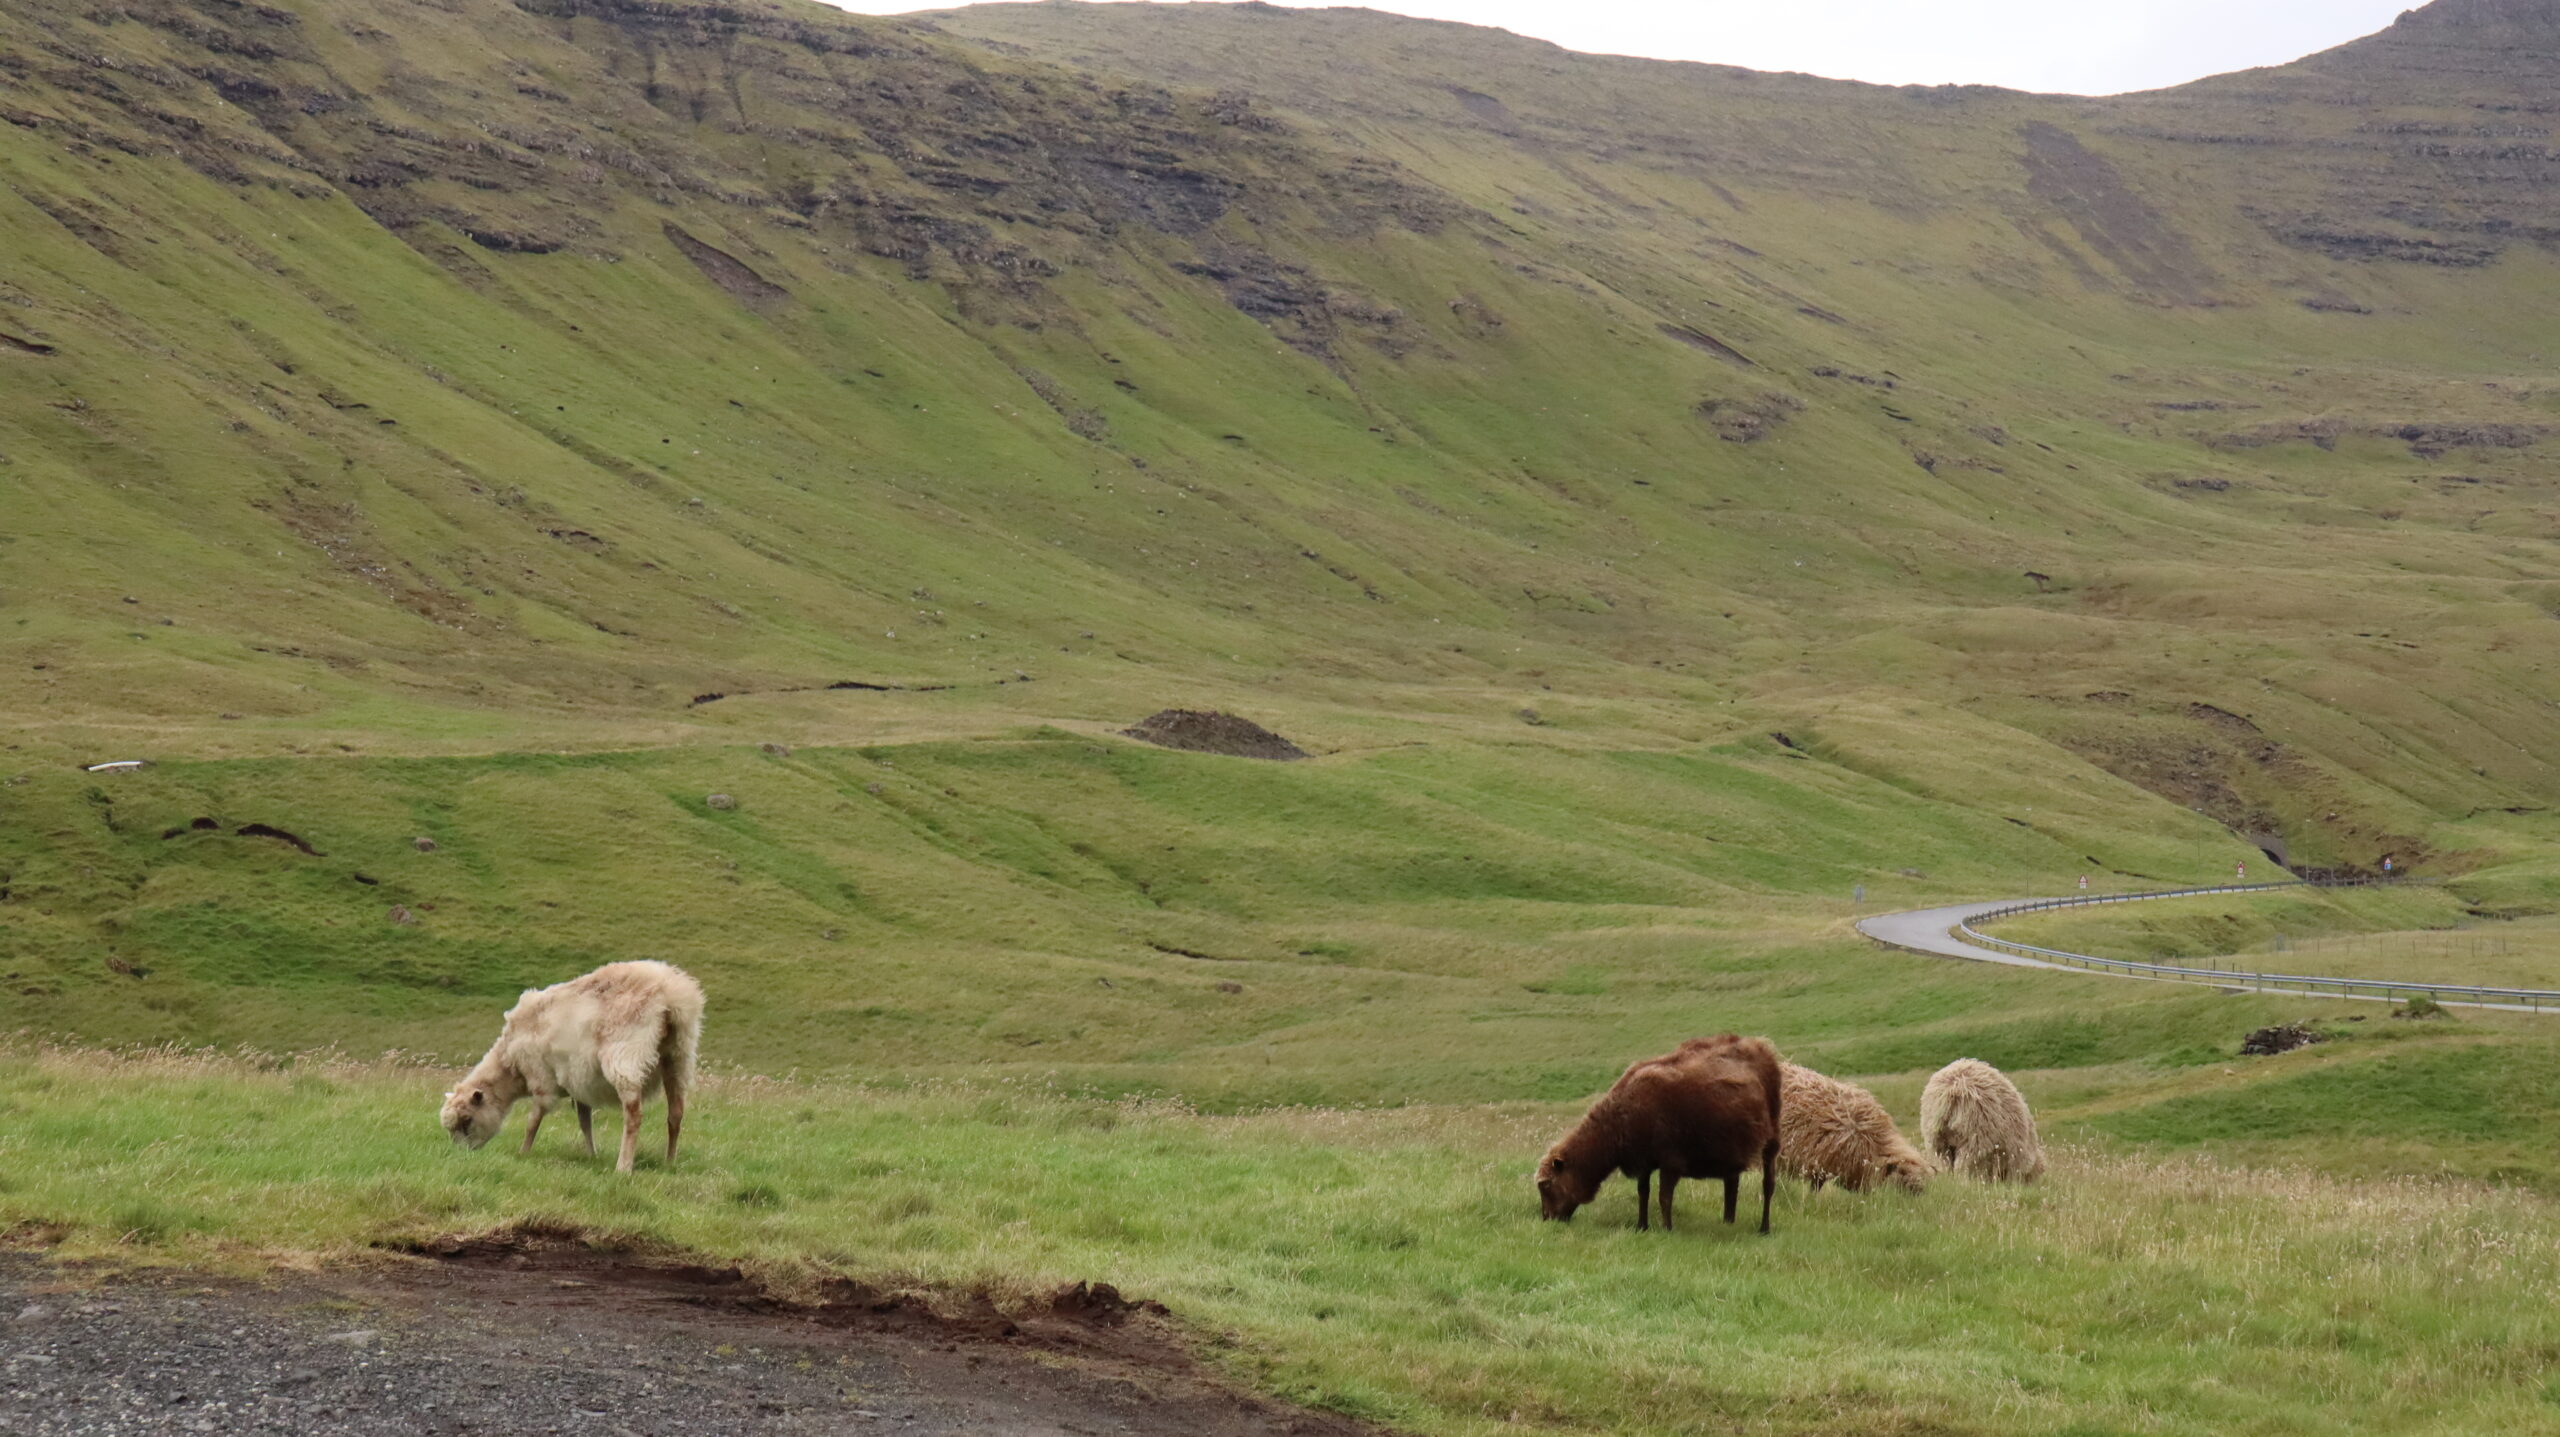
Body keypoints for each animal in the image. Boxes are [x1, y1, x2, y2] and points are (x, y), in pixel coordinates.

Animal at [1536, 1029, 1781, 1234]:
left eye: (1546, 1185)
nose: (1547, 1220)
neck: (1616, 1126)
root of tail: (1760, 1044)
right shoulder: (1643, 1160)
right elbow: (1643, 1193)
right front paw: (1641, 1226)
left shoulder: (1671, 1159)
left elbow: (1664, 1197)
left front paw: (1666, 1229)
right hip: (1731, 1146)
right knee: (1732, 1184)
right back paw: (1728, 1222)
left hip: (1772, 1137)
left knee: (1768, 1184)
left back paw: (1764, 1228)